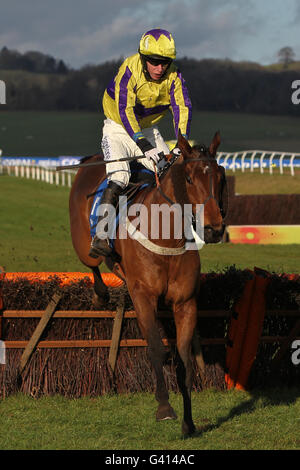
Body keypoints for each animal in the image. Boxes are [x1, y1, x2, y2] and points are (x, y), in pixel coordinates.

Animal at [69, 130, 226, 436]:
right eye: (189, 178)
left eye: (220, 176)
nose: (214, 229)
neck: (166, 235)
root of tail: (91, 160)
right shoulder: (143, 297)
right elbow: (155, 347)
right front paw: (164, 407)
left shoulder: (185, 303)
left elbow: (184, 360)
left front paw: (189, 422)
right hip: (83, 244)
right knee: (92, 263)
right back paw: (100, 293)